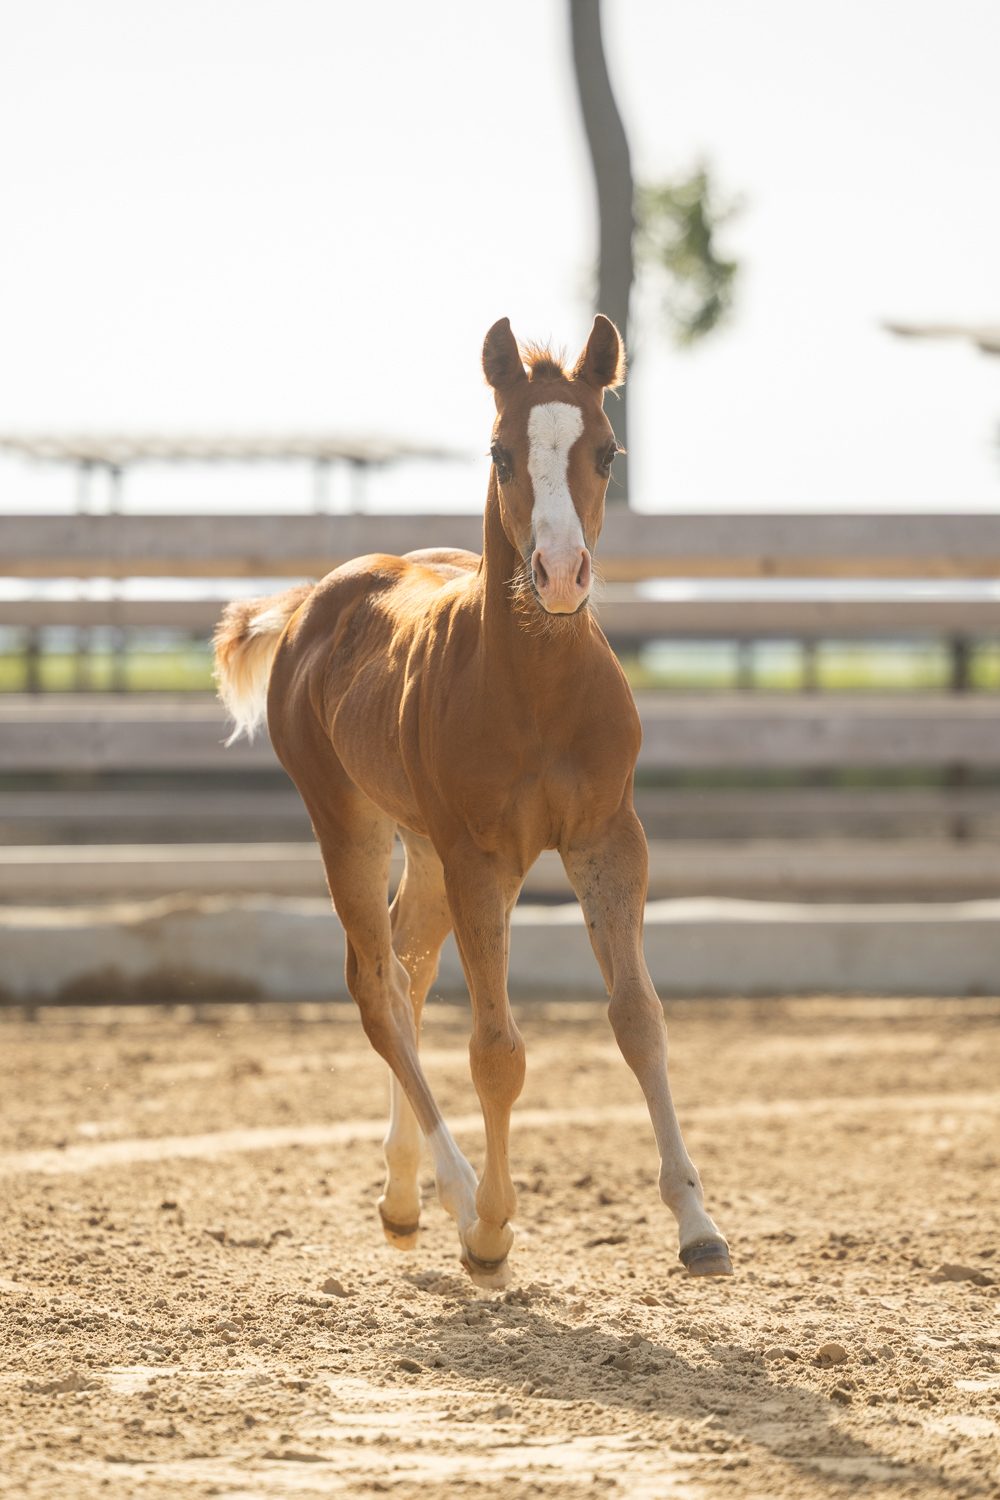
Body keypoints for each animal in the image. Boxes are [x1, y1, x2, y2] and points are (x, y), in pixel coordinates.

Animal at [213, 315, 731, 1287]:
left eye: (608, 451)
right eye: (500, 452)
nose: (561, 574)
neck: (536, 689)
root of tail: (310, 603)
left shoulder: (610, 840)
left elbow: (638, 1019)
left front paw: (697, 1223)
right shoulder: (480, 858)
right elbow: (497, 1051)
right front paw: (492, 1227)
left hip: (423, 849)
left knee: (408, 978)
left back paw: (403, 1195)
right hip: (353, 824)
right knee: (376, 988)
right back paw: (452, 1200)